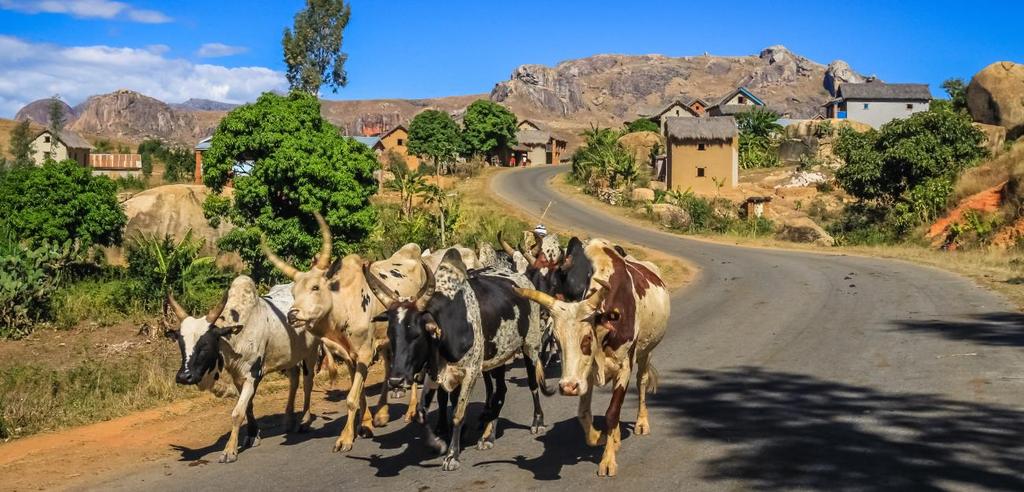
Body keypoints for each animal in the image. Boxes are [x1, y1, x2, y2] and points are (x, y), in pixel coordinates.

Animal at [264, 213, 428, 451]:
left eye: (315, 287)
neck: (343, 304)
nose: (292, 315)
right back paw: (382, 414)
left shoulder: (365, 353)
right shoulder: (350, 356)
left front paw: (346, 438)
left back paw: (412, 411)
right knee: (389, 367)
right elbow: (359, 394)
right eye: (293, 292)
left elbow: (351, 398)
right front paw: (365, 424)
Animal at [362, 252, 552, 471]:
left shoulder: (470, 372)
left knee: (532, 384)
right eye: (391, 334)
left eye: (416, 334)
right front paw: (437, 443)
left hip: (530, 345)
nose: (395, 381)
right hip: (497, 357)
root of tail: (524, 280)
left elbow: (458, 414)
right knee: (499, 392)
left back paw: (537, 422)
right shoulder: (434, 373)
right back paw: (488, 434)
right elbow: (421, 412)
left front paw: (452, 455)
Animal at [512, 237, 671, 475]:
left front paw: (607, 461)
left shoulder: (624, 366)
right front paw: (601, 438)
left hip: (646, 351)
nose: (567, 387)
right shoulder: (583, 374)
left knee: (642, 381)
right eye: (556, 340)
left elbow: (612, 412)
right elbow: (584, 414)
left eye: (587, 338)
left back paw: (641, 422)